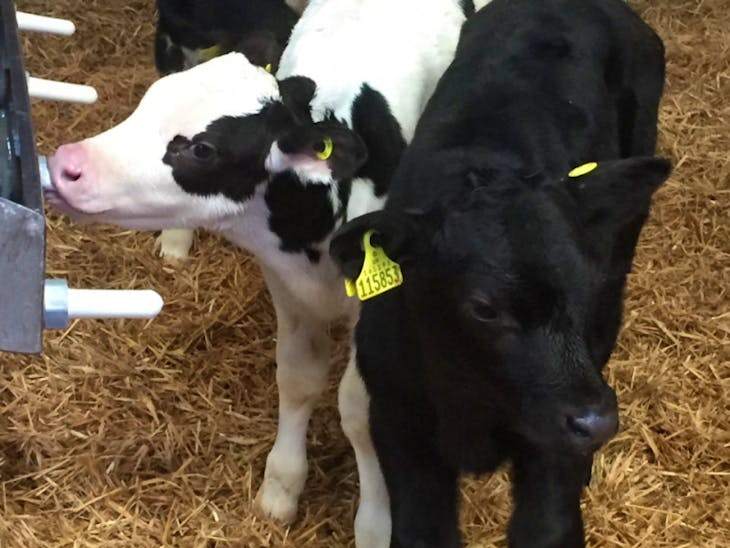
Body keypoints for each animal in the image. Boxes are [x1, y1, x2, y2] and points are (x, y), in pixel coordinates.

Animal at [329, 0, 670, 546]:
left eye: (585, 287)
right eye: (484, 308)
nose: (594, 421)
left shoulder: (548, 452)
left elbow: (549, 527)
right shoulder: (400, 431)